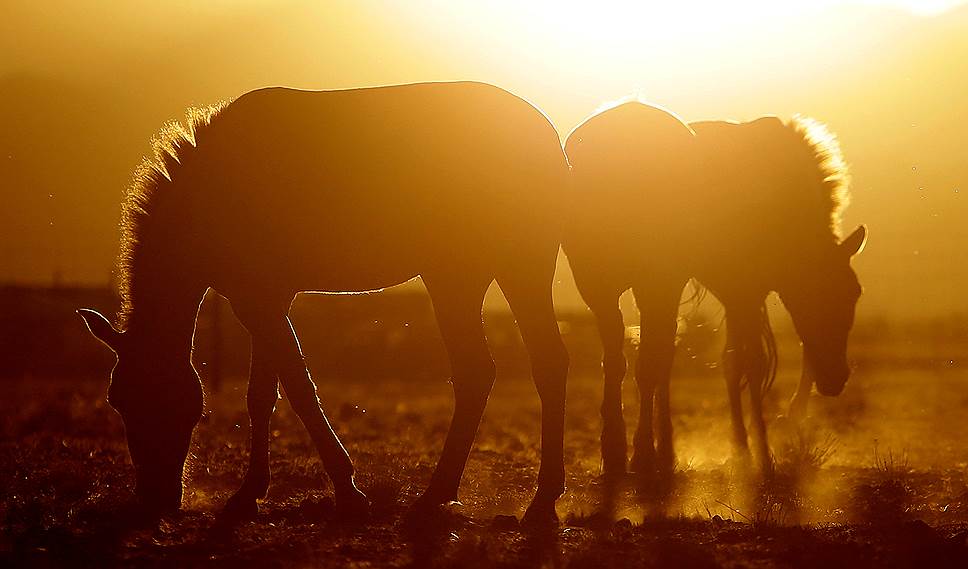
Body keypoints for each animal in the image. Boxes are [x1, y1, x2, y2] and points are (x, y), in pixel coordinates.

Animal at [81, 82, 576, 520]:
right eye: (117, 401)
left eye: (156, 398)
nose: (155, 499)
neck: (212, 191)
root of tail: (549, 139)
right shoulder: (263, 298)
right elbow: (262, 395)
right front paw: (248, 493)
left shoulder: (258, 301)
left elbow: (300, 389)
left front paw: (348, 491)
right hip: (485, 275)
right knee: (516, 367)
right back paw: (503, 498)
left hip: (485, 272)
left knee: (503, 368)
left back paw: (474, 497)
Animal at [564, 103, 864, 480]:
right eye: (827, 292)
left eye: (854, 293)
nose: (836, 379)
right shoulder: (743, 289)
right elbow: (750, 362)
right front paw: (761, 455)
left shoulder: (736, 292)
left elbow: (731, 362)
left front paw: (743, 450)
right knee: (652, 359)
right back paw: (650, 453)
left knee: (645, 358)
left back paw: (646, 452)